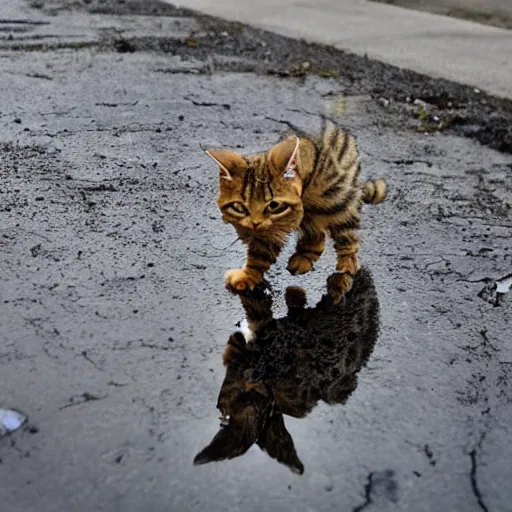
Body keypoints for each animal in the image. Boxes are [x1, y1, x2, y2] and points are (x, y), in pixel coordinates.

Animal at [206, 121, 386, 302]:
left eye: (273, 205)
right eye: (239, 207)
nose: (255, 224)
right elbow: (259, 255)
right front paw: (248, 276)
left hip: (338, 200)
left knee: (345, 235)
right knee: (317, 237)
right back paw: (303, 259)